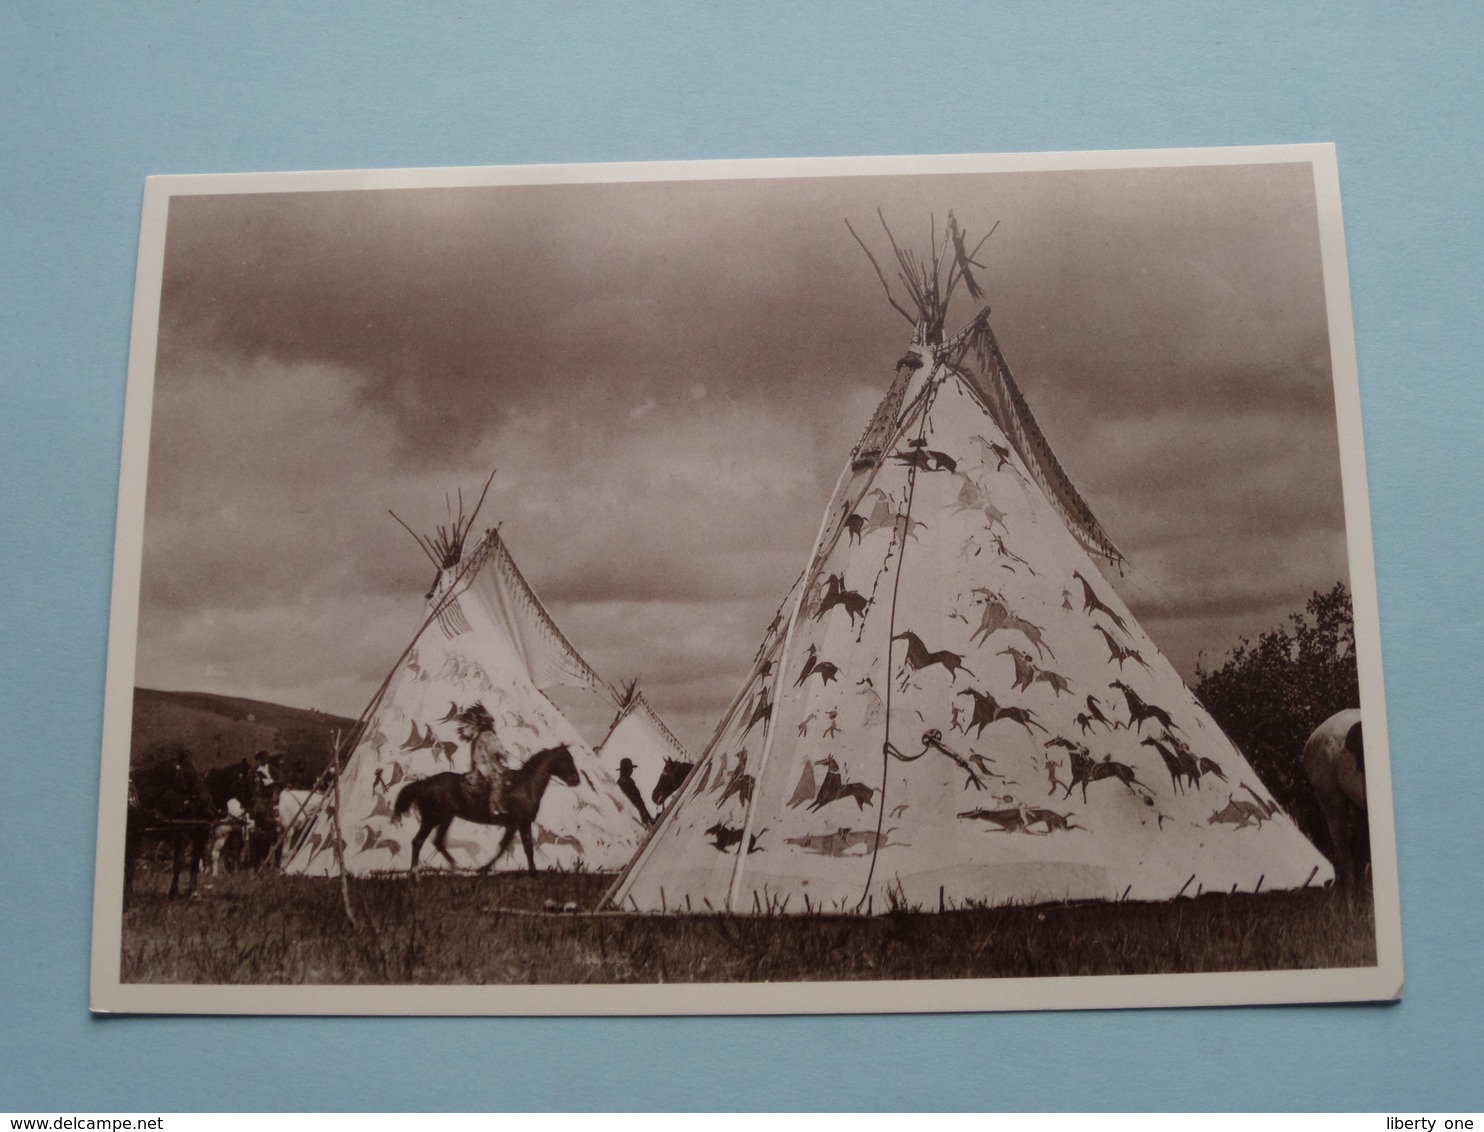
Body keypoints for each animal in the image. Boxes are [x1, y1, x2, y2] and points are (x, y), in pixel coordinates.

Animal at [124, 756, 215, 907]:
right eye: (188, 774)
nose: (211, 810)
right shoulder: (185, 835)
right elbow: (180, 863)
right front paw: (174, 893)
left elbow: (193, 863)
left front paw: (191, 893)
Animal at [394, 747, 578, 872]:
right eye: (567, 760)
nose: (576, 780)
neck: (526, 785)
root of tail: (424, 783)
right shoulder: (519, 823)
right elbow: (516, 848)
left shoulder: (518, 825)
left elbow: (517, 848)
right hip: (434, 818)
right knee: (418, 841)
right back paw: (415, 872)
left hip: (444, 818)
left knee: (437, 841)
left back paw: (455, 867)